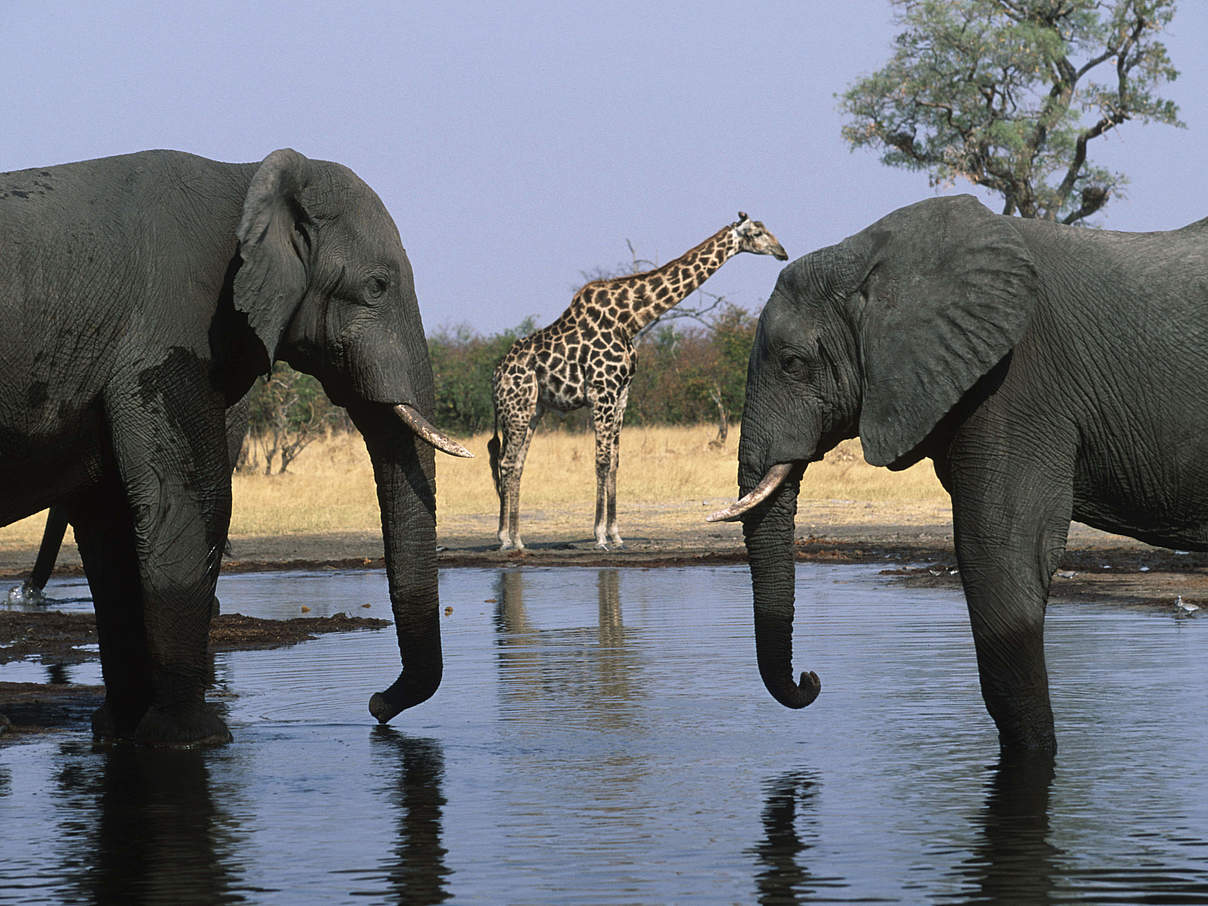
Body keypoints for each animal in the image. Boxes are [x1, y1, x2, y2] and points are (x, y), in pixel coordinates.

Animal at [0, 147, 468, 744]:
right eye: (378, 286)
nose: (376, 705)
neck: (245, 180)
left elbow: (114, 521)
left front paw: (123, 729)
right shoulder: (165, 336)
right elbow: (191, 501)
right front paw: (189, 735)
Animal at [485, 213, 787, 553]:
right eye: (757, 233)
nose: (782, 251)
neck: (630, 319)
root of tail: (496, 374)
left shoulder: (621, 393)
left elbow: (615, 461)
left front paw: (616, 533)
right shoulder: (603, 390)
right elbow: (602, 460)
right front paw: (600, 535)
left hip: (533, 408)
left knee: (516, 464)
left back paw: (516, 537)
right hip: (517, 407)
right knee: (507, 462)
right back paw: (506, 538)